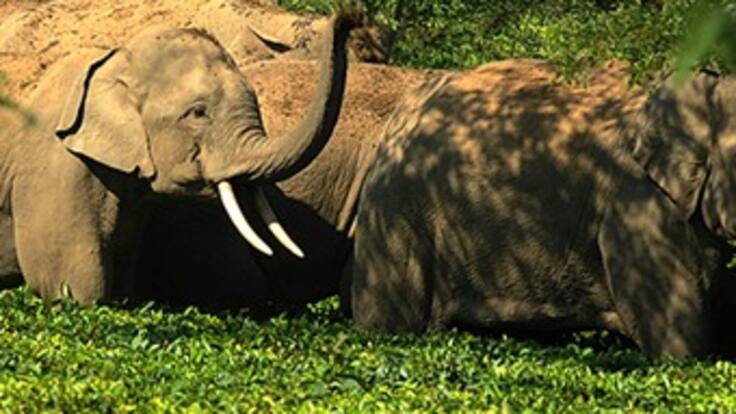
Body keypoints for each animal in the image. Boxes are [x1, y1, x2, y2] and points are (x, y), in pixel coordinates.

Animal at [0, 9, 361, 304]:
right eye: (198, 113)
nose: (346, 19)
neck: (114, 60)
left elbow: (122, 285)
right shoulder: (54, 170)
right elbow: (74, 287)